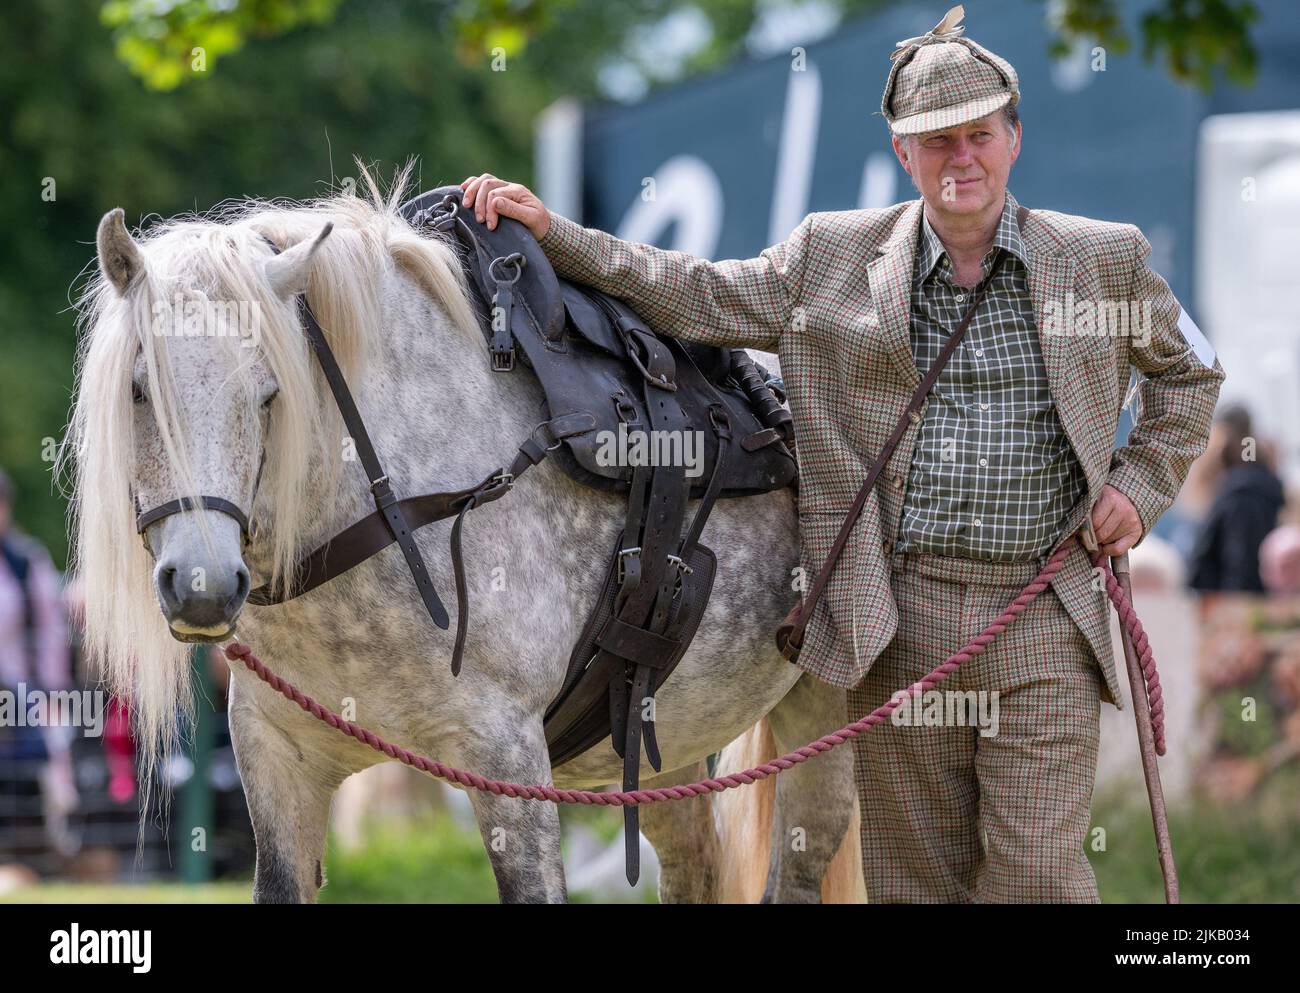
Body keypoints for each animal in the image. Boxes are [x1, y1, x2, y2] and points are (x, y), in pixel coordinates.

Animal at [65, 170, 868, 909]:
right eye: (139, 390)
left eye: (270, 394)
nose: (203, 585)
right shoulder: (278, 759)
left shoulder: (507, 757)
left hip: (820, 711)